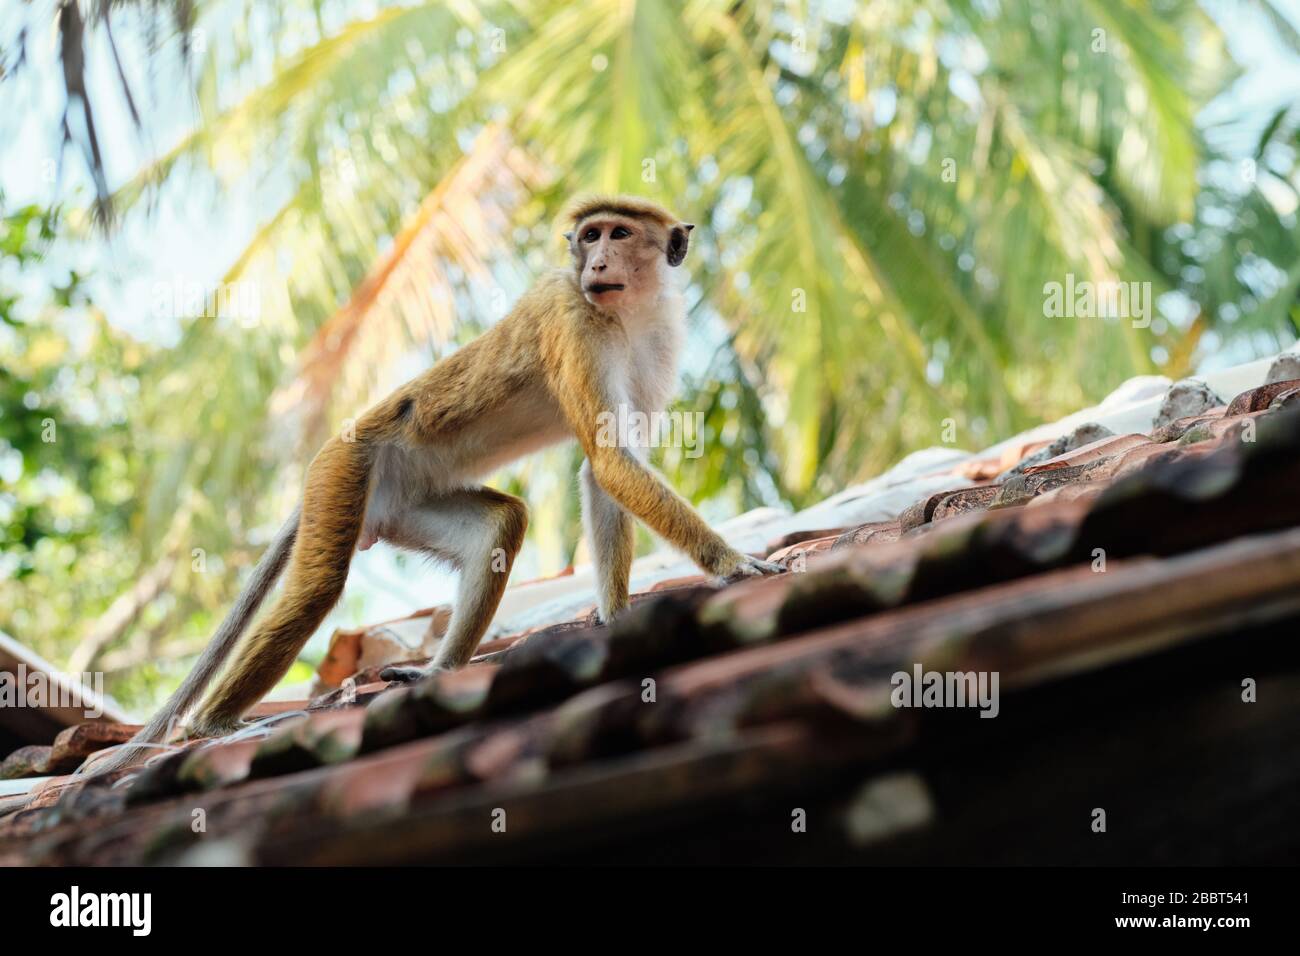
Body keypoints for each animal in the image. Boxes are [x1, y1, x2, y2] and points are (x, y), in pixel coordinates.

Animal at [92, 195, 782, 773]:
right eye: (590, 236)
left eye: (618, 232)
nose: (598, 261)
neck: (625, 312)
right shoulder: (573, 317)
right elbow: (611, 461)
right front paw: (730, 562)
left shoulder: (661, 336)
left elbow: (603, 468)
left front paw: (615, 616)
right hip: (342, 470)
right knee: (317, 588)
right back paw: (207, 726)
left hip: (399, 503)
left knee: (500, 524)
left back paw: (440, 668)